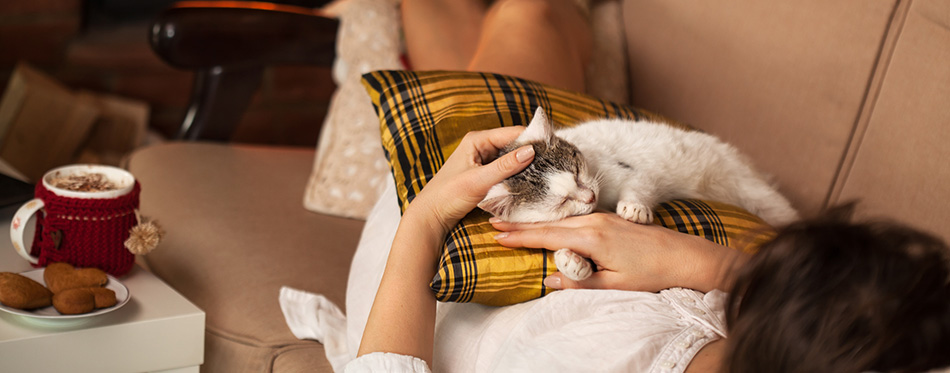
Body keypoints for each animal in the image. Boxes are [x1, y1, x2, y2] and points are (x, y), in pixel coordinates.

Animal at [480, 107, 800, 282]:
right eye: (562, 202)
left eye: (577, 172)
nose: (590, 198)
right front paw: (571, 261)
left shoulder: (629, 172)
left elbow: (640, 184)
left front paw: (634, 208)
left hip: (753, 190)